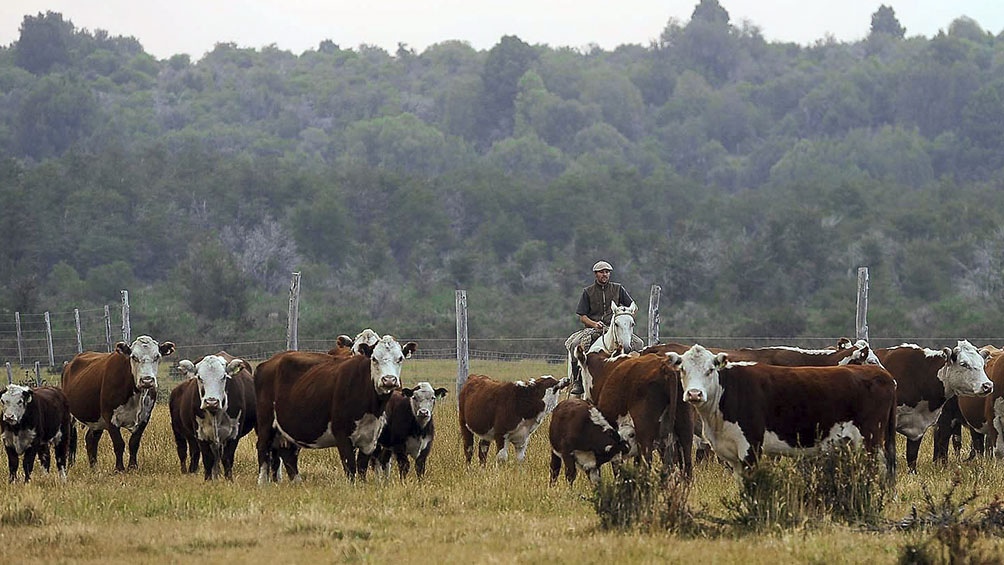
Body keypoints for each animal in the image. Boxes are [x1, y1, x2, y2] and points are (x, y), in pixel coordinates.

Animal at [60, 335, 175, 473]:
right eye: (134, 357)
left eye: (157, 356)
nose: (147, 380)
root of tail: (69, 364)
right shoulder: (110, 417)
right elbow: (119, 444)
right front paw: (119, 469)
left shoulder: (144, 418)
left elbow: (134, 443)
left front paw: (132, 467)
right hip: (71, 416)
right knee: (71, 440)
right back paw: (69, 466)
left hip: (96, 419)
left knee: (91, 439)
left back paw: (94, 467)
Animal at [169, 353, 257, 481]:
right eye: (199, 377)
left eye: (223, 377)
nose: (211, 401)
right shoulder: (200, 433)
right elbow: (207, 458)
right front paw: (208, 480)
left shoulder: (234, 433)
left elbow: (227, 458)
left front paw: (229, 480)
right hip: (178, 432)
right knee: (184, 452)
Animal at [259, 333, 419, 483]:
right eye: (374, 359)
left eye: (400, 358)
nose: (389, 380)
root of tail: (270, 361)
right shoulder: (342, 436)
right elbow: (351, 468)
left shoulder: (370, 439)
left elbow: (363, 468)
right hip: (266, 423)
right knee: (263, 449)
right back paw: (263, 483)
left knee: (287, 454)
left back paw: (297, 482)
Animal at [666, 345, 895, 477]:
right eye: (683, 369)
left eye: (710, 369)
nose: (694, 394)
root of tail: (885, 377)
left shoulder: (751, 448)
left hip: (870, 440)